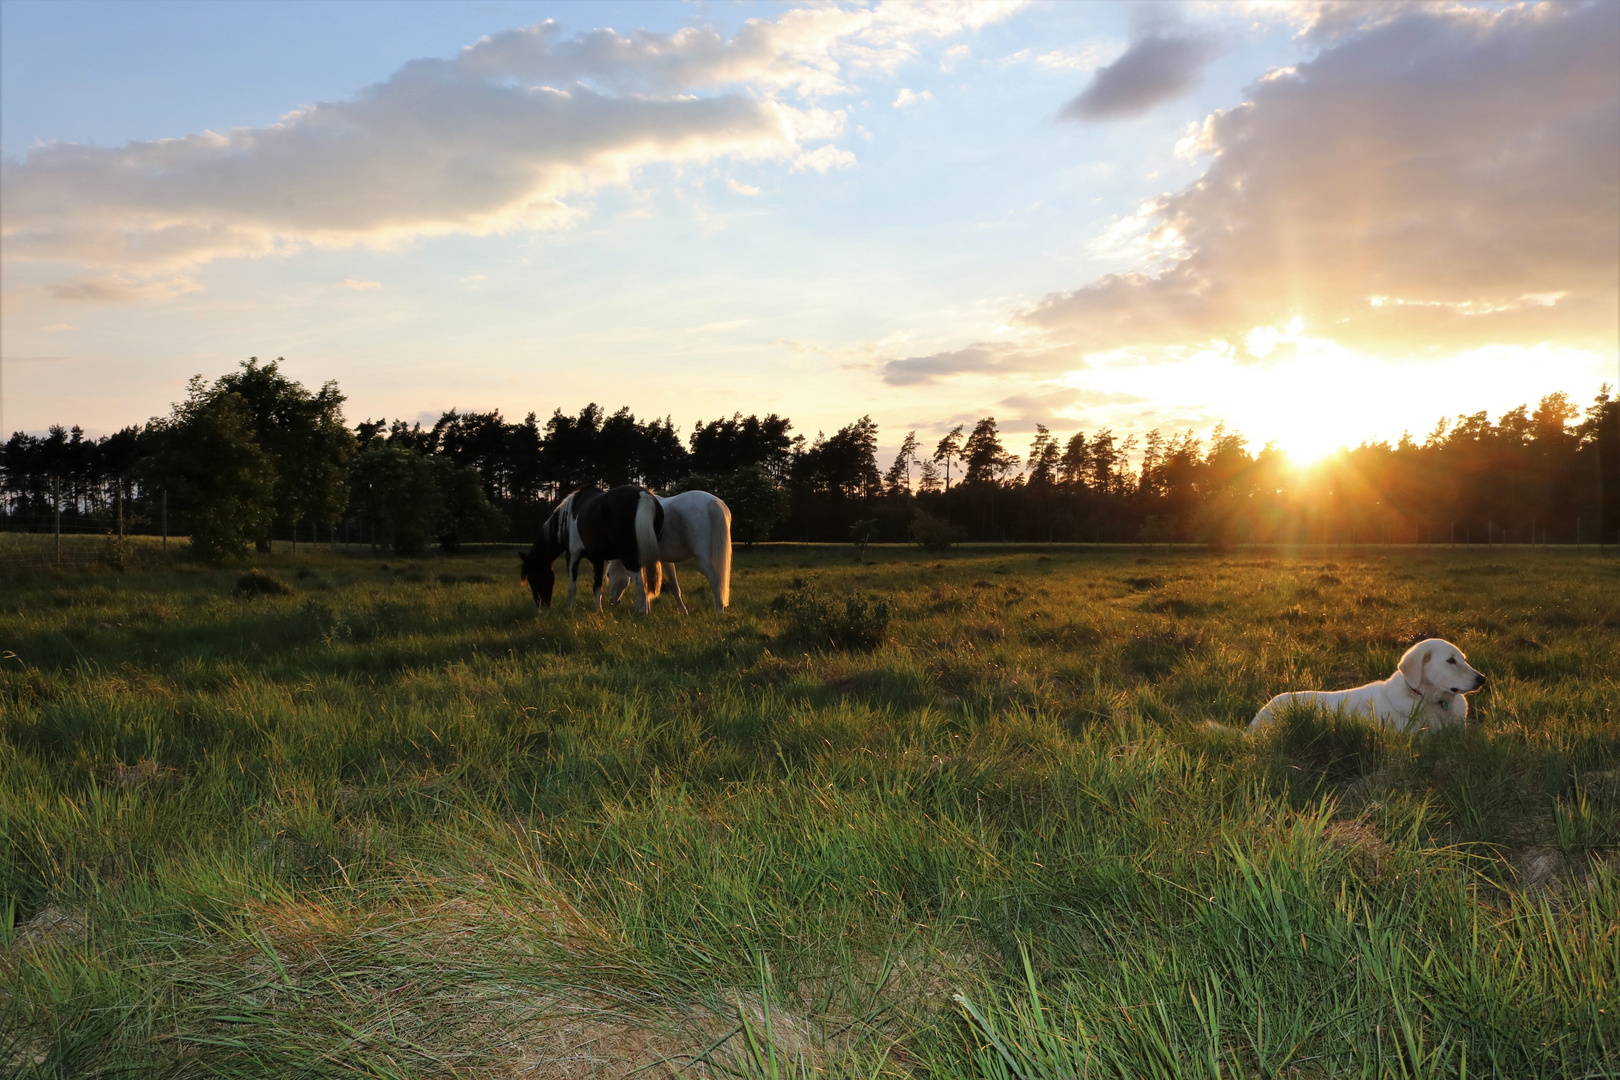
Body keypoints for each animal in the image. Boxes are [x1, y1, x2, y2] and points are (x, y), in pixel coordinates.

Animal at [524, 485, 664, 612]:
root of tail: (644, 496)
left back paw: (640, 612)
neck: (567, 520)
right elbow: (597, 587)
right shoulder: (598, 560)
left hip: (629, 557)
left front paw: (570, 610)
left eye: (533, 578)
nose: (540, 605)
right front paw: (598, 610)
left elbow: (572, 588)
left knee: (639, 582)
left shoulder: (573, 556)